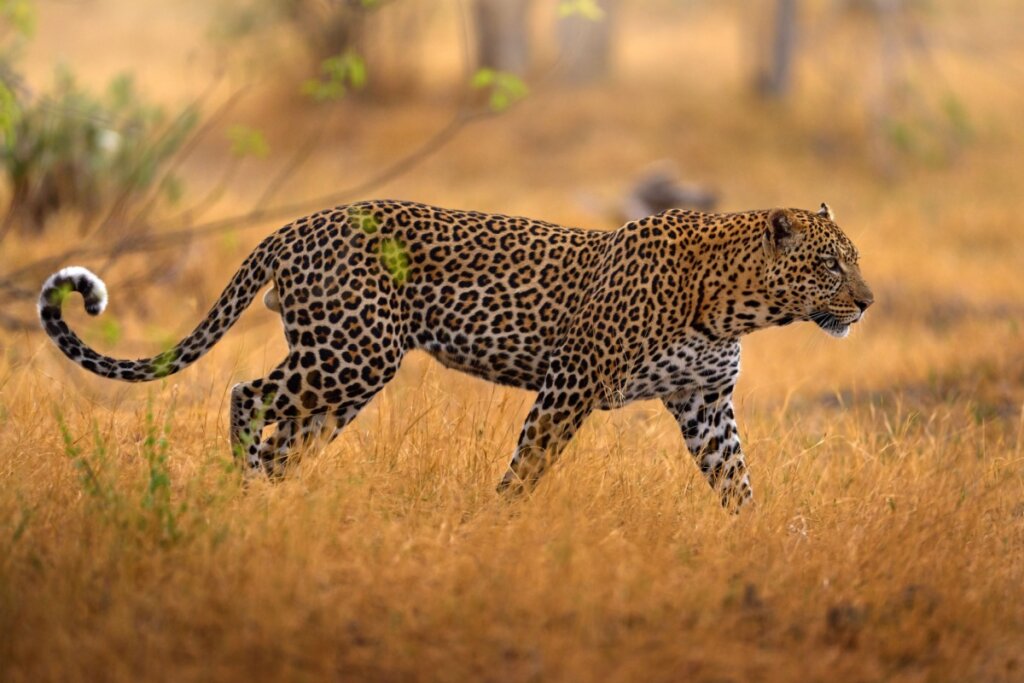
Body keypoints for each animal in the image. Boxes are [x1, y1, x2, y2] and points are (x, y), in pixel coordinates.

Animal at [38, 199, 873, 510]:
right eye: (831, 265)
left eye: (853, 260)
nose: (866, 301)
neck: (736, 306)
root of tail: (299, 223)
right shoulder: (571, 385)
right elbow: (529, 465)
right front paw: (499, 525)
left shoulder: (705, 403)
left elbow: (738, 482)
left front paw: (760, 546)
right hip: (352, 352)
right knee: (247, 394)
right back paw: (242, 490)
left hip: (347, 374)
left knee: (286, 439)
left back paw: (275, 505)